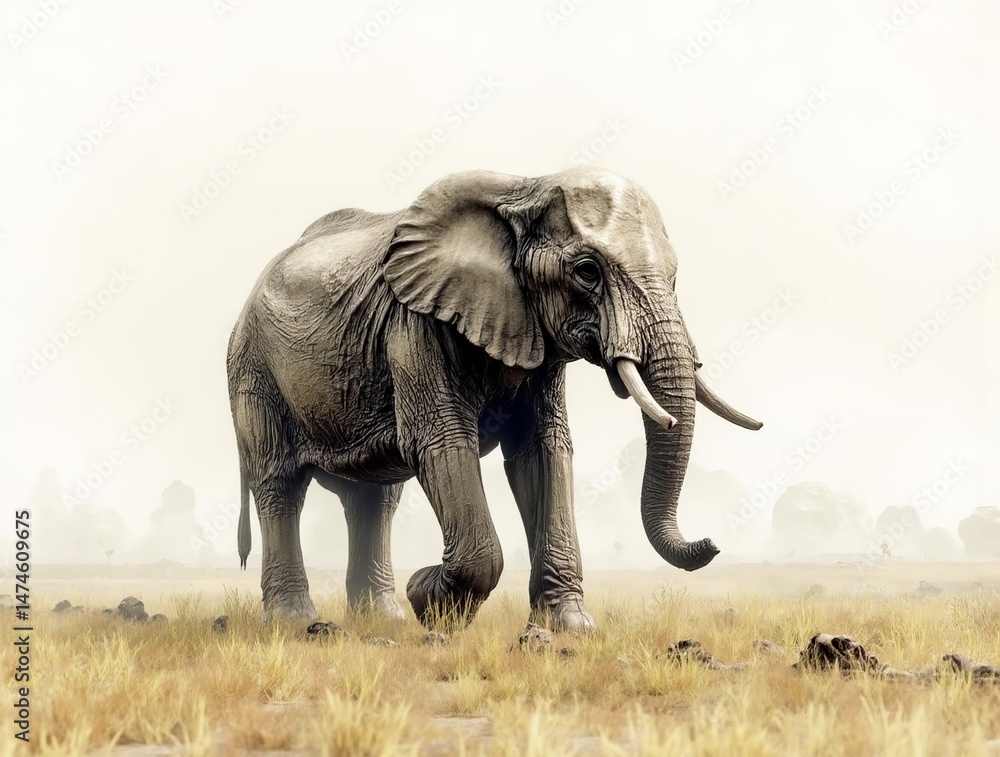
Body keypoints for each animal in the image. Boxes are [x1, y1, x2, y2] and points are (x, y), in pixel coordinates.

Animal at [226, 167, 762, 631]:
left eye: (674, 277)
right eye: (587, 271)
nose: (711, 542)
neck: (526, 185)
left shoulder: (537, 339)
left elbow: (543, 449)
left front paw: (569, 628)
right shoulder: (415, 322)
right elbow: (442, 442)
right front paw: (428, 599)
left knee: (374, 498)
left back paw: (384, 621)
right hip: (253, 371)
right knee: (280, 484)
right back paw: (296, 623)